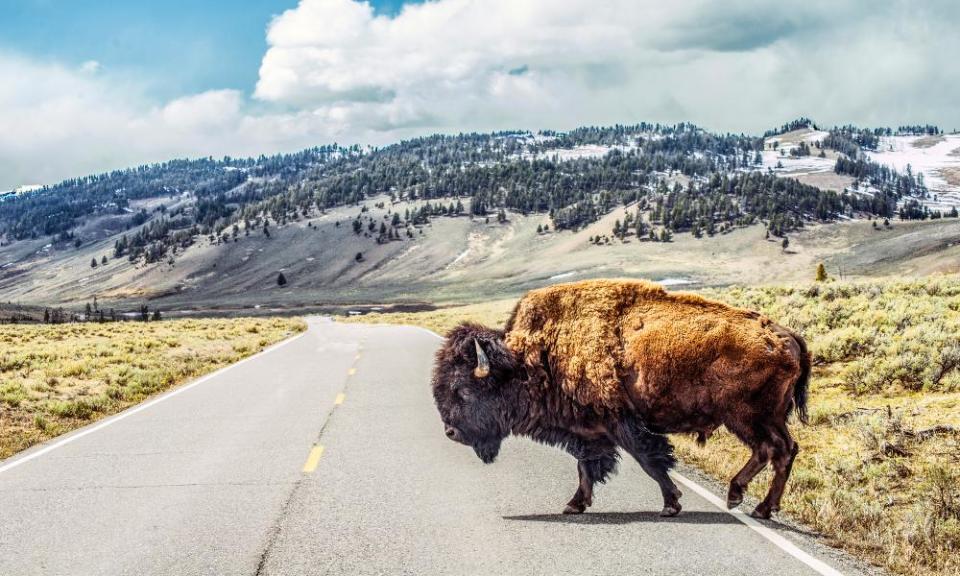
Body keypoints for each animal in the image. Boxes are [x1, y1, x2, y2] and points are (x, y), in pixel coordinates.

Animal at [432, 276, 808, 520]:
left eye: (463, 389)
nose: (450, 432)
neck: (535, 357)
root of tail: (786, 335)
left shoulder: (621, 423)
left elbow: (649, 460)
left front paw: (671, 504)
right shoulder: (587, 430)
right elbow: (586, 465)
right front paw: (575, 504)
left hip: (746, 417)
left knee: (771, 450)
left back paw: (742, 500)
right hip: (768, 418)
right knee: (784, 451)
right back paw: (760, 506)